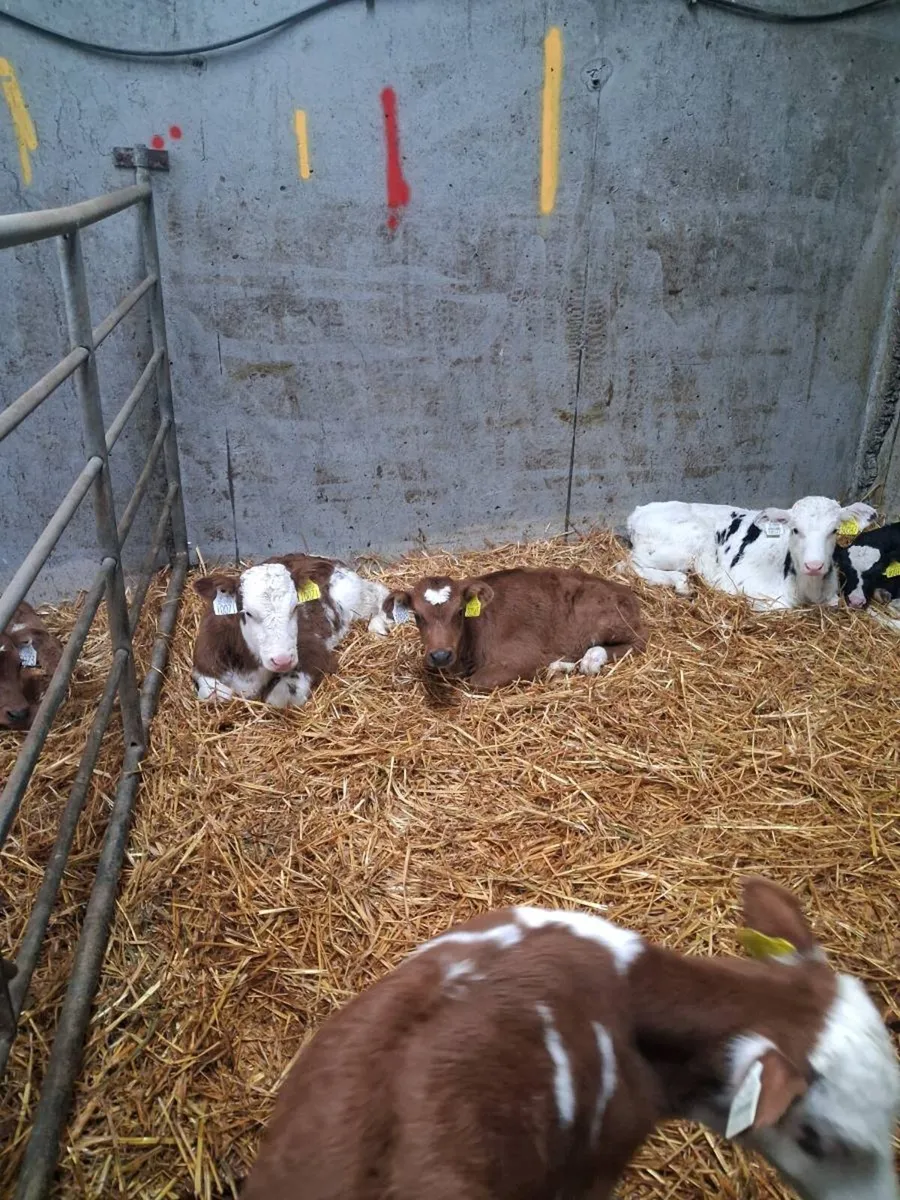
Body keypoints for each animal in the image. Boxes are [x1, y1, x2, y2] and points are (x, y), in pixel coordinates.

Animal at [192, 554, 392, 707]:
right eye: (247, 613)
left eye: (295, 607)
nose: (282, 660)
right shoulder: (204, 653)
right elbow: (211, 691)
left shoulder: (315, 651)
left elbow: (279, 698)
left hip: (357, 597)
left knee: (379, 593)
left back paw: (378, 627)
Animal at [385, 567, 646, 689]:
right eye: (418, 616)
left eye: (459, 611)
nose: (440, 655)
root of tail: (626, 590)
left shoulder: (522, 657)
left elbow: (478, 681)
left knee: (637, 641)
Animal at [625, 496, 877, 611]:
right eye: (795, 529)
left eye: (834, 531)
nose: (814, 565)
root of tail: (637, 512)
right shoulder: (744, 584)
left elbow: (834, 601)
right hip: (686, 544)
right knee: (629, 563)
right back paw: (681, 583)